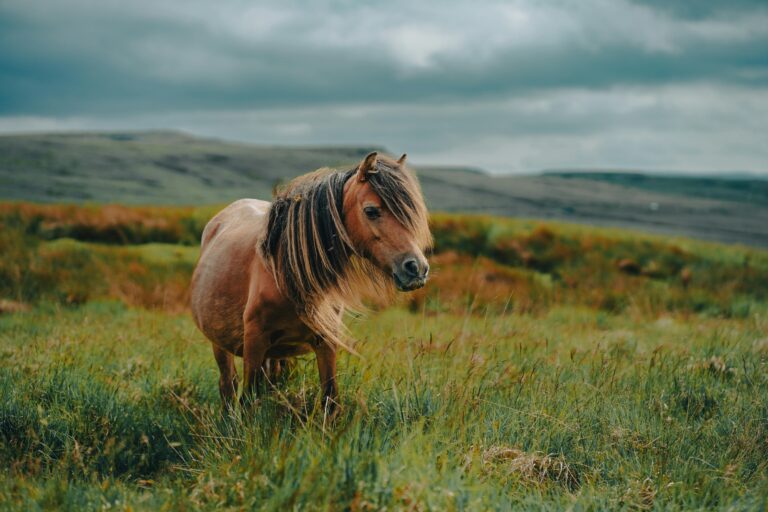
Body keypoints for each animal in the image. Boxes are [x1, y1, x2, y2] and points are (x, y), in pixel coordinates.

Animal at [190, 152, 432, 412]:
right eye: (371, 211)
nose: (417, 268)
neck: (287, 274)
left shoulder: (325, 341)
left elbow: (330, 398)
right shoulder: (254, 342)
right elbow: (248, 402)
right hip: (220, 344)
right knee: (228, 386)